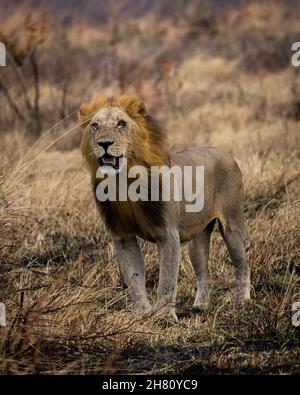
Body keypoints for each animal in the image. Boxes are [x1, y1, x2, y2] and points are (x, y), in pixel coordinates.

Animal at [78, 95, 250, 322]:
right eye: (95, 125)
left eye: (121, 124)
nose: (104, 143)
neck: (123, 181)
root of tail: (224, 152)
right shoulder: (122, 236)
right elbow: (133, 278)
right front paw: (142, 314)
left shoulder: (168, 235)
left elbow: (167, 280)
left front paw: (164, 317)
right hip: (198, 240)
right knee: (204, 272)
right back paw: (200, 307)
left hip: (232, 226)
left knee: (242, 263)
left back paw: (243, 301)